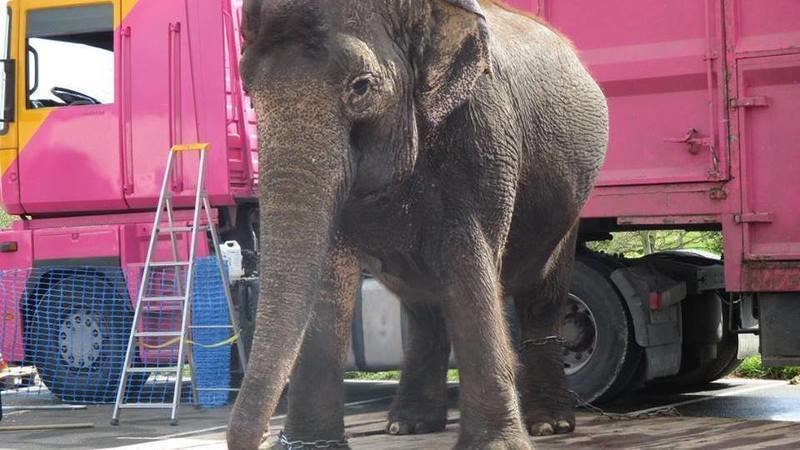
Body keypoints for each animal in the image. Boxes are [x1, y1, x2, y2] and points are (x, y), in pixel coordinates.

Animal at [228, 0, 608, 449]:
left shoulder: (484, 137)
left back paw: (550, 424)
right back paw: (408, 425)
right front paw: (311, 445)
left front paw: (497, 445)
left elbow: (467, 258)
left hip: (570, 206)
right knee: (423, 307)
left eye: (361, 87)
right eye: (249, 91)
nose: (267, 438)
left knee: (543, 295)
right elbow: (328, 273)